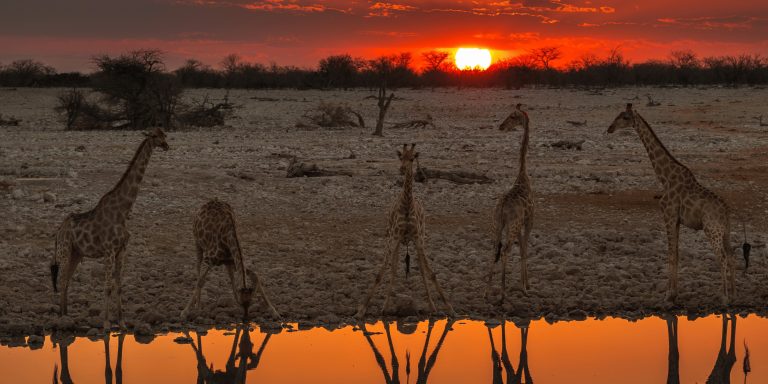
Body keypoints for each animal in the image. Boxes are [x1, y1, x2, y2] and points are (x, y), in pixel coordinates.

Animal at [52, 127, 170, 330]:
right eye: (155, 136)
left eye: (164, 134)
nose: (166, 145)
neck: (122, 212)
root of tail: (59, 231)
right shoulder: (108, 250)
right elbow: (107, 286)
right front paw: (106, 323)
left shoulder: (122, 250)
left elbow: (119, 285)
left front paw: (122, 322)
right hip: (65, 251)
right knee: (62, 279)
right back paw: (61, 317)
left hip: (76, 253)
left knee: (67, 281)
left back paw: (67, 315)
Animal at [356, 144, 456, 318]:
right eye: (400, 156)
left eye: (412, 158)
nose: (402, 169)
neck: (407, 206)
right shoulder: (394, 238)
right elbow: (381, 272)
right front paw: (362, 309)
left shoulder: (417, 238)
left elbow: (430, 272)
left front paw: (449, 307)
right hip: (392, 239)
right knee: (394, 268)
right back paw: (385, 307)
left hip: (419, 239)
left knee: (421, 269)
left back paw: (432, 307)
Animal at [608, 103, 736, 304]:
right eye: (618, 115)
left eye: (625, 117)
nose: (610, 128)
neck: (665, 178)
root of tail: (726, 211)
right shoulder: (676, 220)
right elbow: (676, 253)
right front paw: (674, 293)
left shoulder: (668, 215)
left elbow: (670, 253)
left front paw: (668, 294)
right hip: (725, 232)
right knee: (730, 256)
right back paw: (734, 294)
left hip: (712, 230)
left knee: (722, 258)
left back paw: (724, 297)